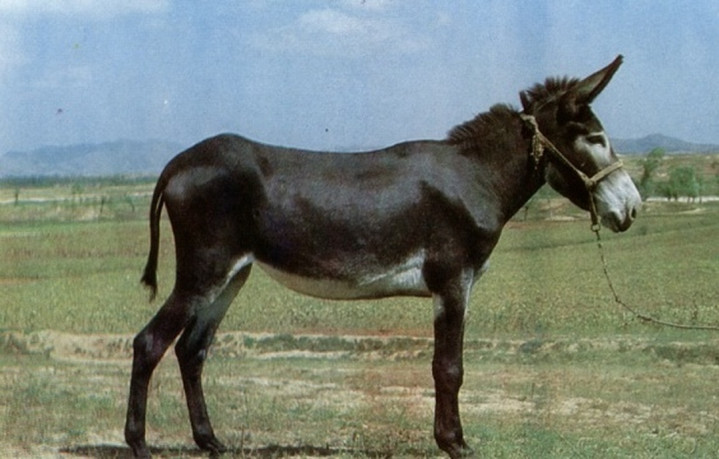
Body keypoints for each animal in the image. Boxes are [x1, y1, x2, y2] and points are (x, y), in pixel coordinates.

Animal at [125, 56, 640, 458]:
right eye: (594, 139)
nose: (633, 209)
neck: (475, 176)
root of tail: (179, 162)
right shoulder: (453, 281)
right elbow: (448, 368)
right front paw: (455, 443)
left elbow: (445, 367)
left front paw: (451, 440)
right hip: (204, 270)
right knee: (149, 343)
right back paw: (139, 444)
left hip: (232, 275)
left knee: (192, 349)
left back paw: (209, 441)